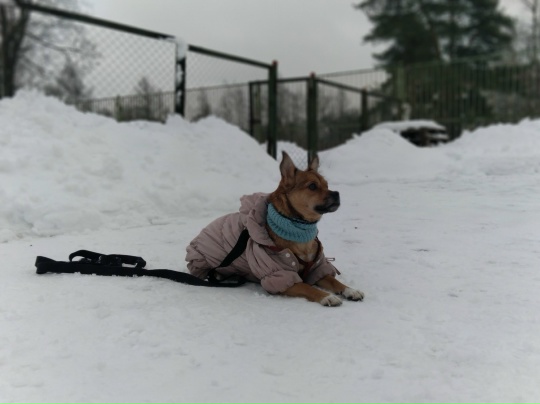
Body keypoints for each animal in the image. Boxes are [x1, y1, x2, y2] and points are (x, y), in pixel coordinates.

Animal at [186, 151, 364, 306]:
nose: (337, 194)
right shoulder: (283, 277)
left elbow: (334, 280)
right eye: (313, 186)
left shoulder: (316, 268)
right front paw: (327, 296)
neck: (299, 233)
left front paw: (350, 290)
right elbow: (308, 287)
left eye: (327, 185)